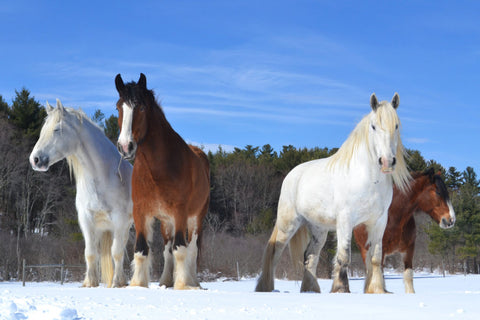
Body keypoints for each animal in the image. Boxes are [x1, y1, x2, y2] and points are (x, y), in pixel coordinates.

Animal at [29, 100, 133, 288]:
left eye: (57, 129)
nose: (35, 160)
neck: (105, 177)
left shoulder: (120, 221)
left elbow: (116, 252)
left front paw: (116, 283)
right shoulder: (86, 219)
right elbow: (90, 253)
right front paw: (89, 283)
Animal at [114, 74, 210, 288]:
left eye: (141, 107)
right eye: (118, 107)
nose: (125, 147)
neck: (156, 170)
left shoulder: (180, 212)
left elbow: (181, 249)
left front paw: (182, 285)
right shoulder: (141, 212)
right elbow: (141, 250)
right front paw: (138, 283)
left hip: (196, 218)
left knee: (191, 249)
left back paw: (193, 282)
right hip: (167, 222)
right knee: (168, 249)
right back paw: (166, 281)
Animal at [256, 92, 410, 292]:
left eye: (396, 126)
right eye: (374, 126)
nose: (387, 162)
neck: (368, 179)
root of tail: (292, 174)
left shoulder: (378, 222)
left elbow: (375, 258)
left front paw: (377, 290)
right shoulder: (345, 220)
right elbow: (344, 257)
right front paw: (340, 289)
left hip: (318, 229)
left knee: (310, 257)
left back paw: (310, 289)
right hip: (287, 223)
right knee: (274, 252)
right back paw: (266, 287)